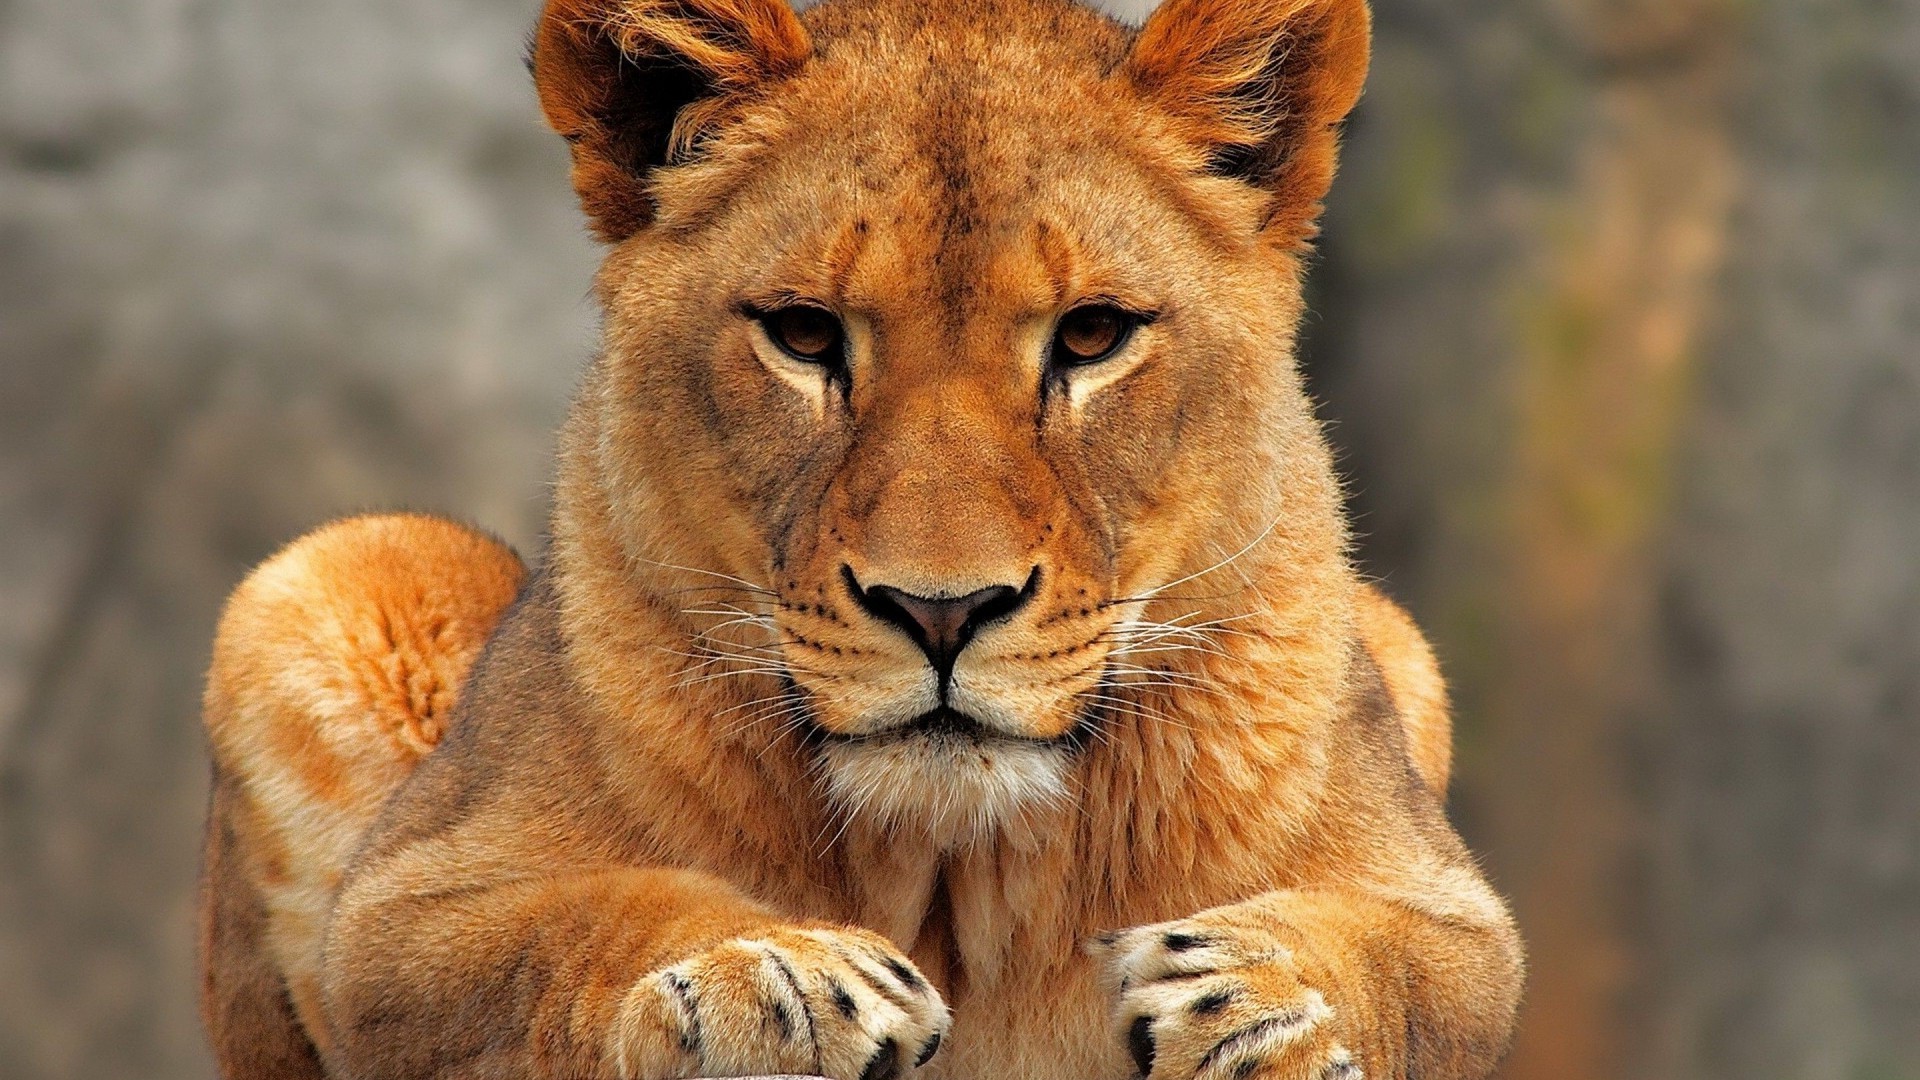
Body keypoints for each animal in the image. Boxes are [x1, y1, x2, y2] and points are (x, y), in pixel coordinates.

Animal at [196, 0, 1524, 1077]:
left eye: (1093, 335)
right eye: (803, 333)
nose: (942, 611)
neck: (951, 876)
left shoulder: (1451, 908)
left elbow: (1404, 962)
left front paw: (1255, 995)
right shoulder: (405, 910)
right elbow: (581, 918)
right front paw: (769, 972)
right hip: (329, 576)